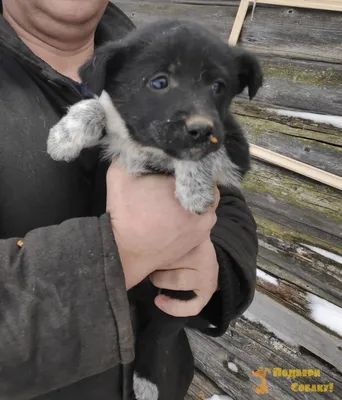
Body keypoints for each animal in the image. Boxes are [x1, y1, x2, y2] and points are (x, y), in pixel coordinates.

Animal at [46, 20, 264, 400]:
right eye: (159, 82)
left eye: (218, 87)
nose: (200, 128)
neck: (148, 150)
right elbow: (99, 105)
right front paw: (64, 137)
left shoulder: (235, 148)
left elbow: (209, 152)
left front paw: (195, 189)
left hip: (182, 295)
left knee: (160, 332)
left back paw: (146, 380)